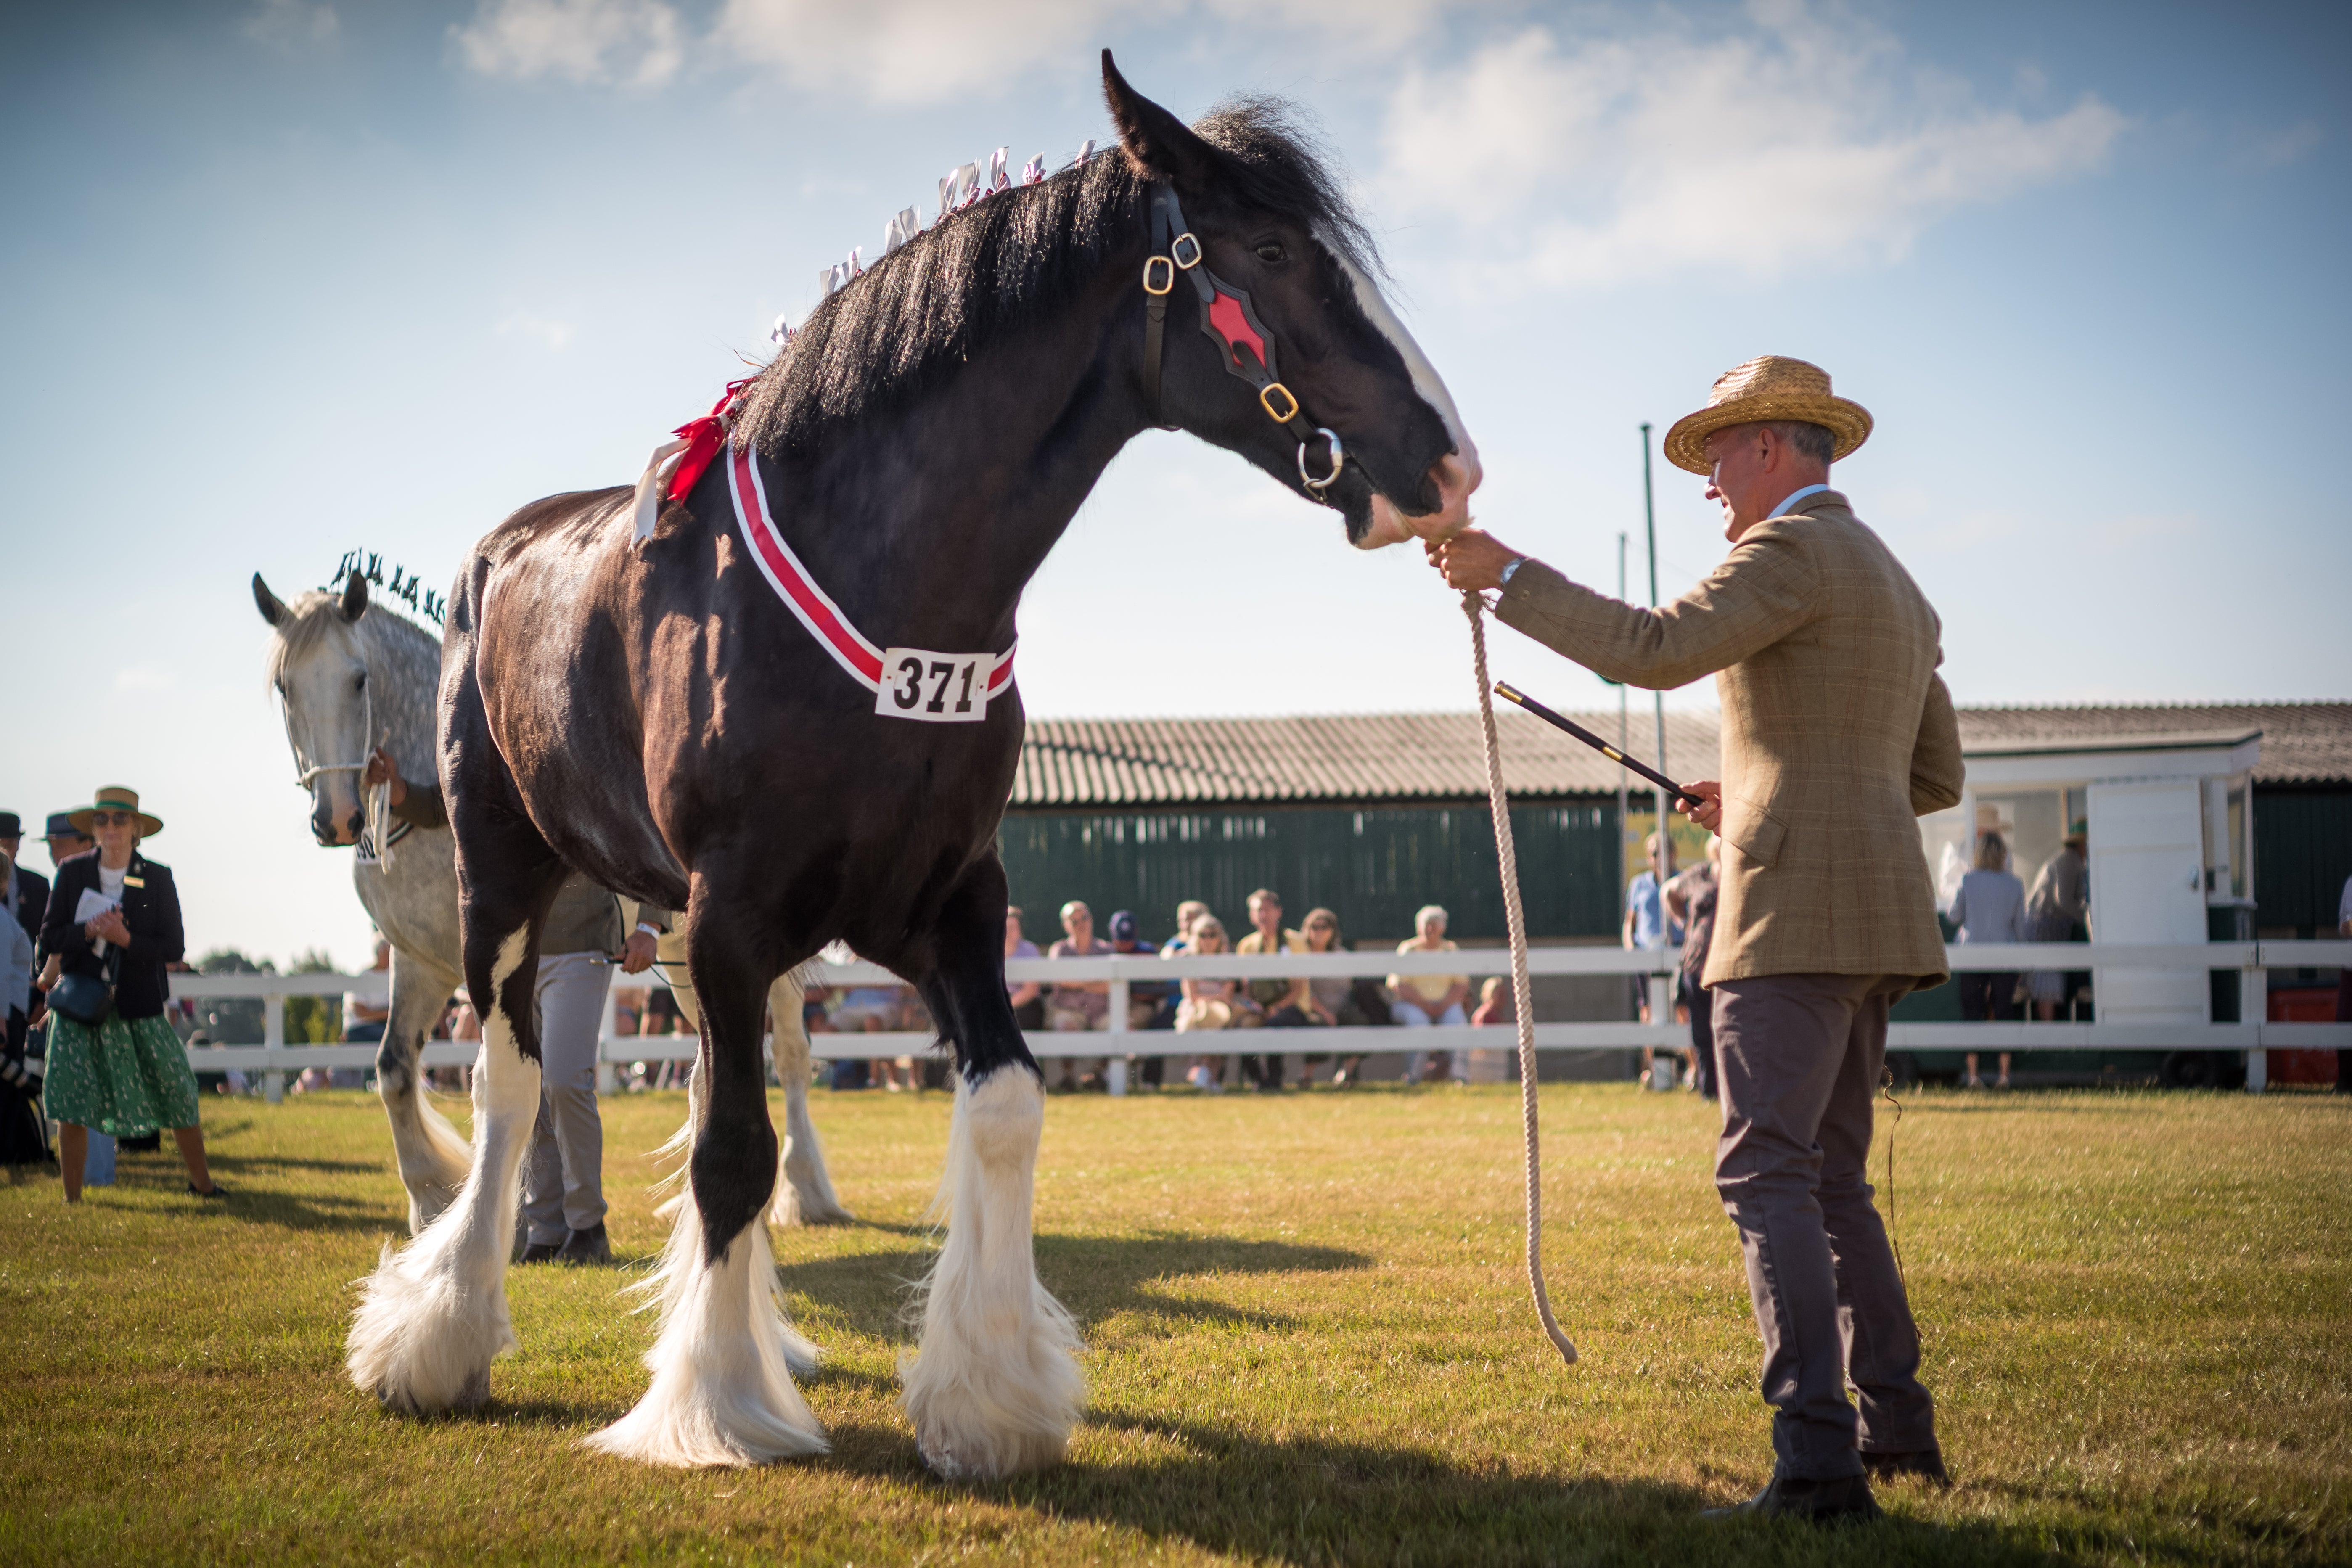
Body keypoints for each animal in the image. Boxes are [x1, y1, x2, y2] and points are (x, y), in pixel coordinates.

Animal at [254, 572, 852, 1233]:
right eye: (285, 686)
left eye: (359, 679)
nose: (335, 818)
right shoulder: (422, 962)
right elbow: (396, 1071)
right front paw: (433, 1200)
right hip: (683, 961)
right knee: (708, 1065)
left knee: (790, 1054)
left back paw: (803, 1191)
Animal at [345, 53, 1479, 1477]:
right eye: (1272, 251)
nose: (1449, 463)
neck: (881, 580)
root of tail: (501, 549)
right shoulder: (734, 914)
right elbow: (730, 1149)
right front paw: (715, 1404)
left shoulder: (947, 904)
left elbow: (998, 1108)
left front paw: (988, 1394)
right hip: (507, 875)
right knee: (509, 1080)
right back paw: (444, 1334)